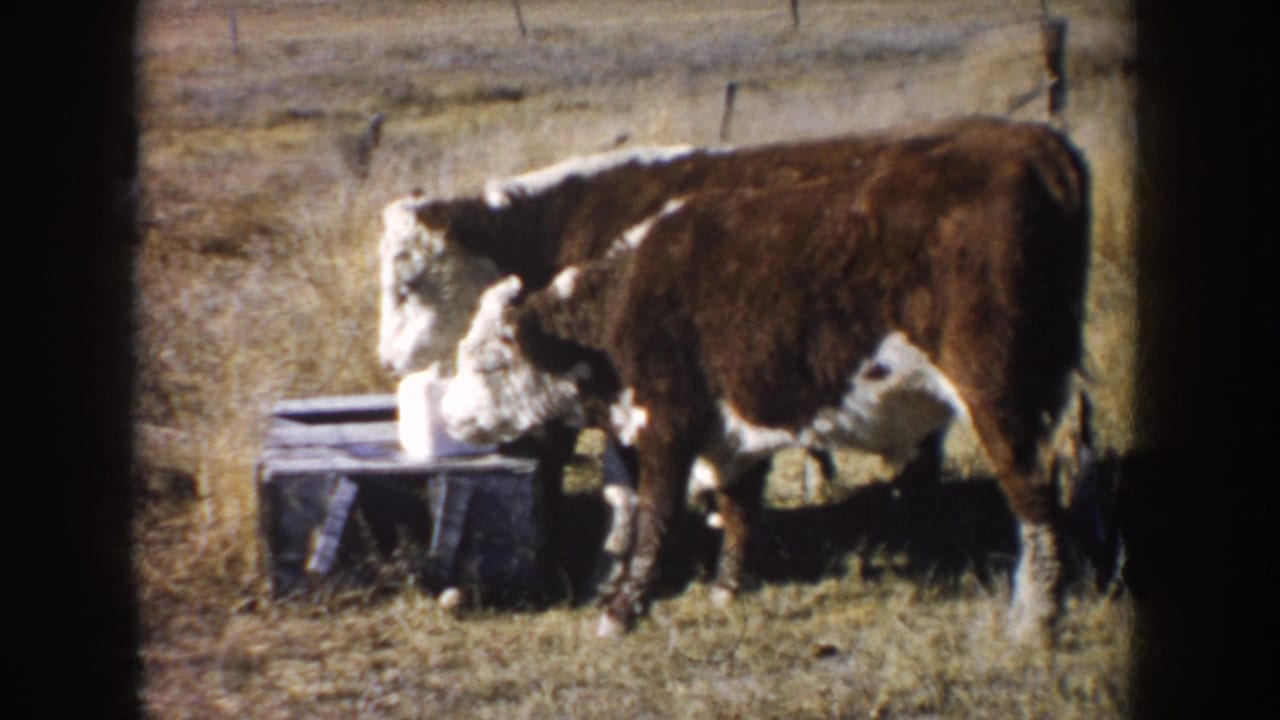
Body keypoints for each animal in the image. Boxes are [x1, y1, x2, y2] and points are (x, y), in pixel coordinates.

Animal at [438, 116, 1092, 644]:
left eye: (490, 363)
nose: (448, 414)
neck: (626, 299)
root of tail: (1038, 144)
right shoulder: (731, 432)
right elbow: (737, 508)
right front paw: (725, 590)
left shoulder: (666, 422)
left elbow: (654, 517)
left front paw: (622, 610)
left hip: (998, 392)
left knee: (1033, 493)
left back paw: (1034, 621)